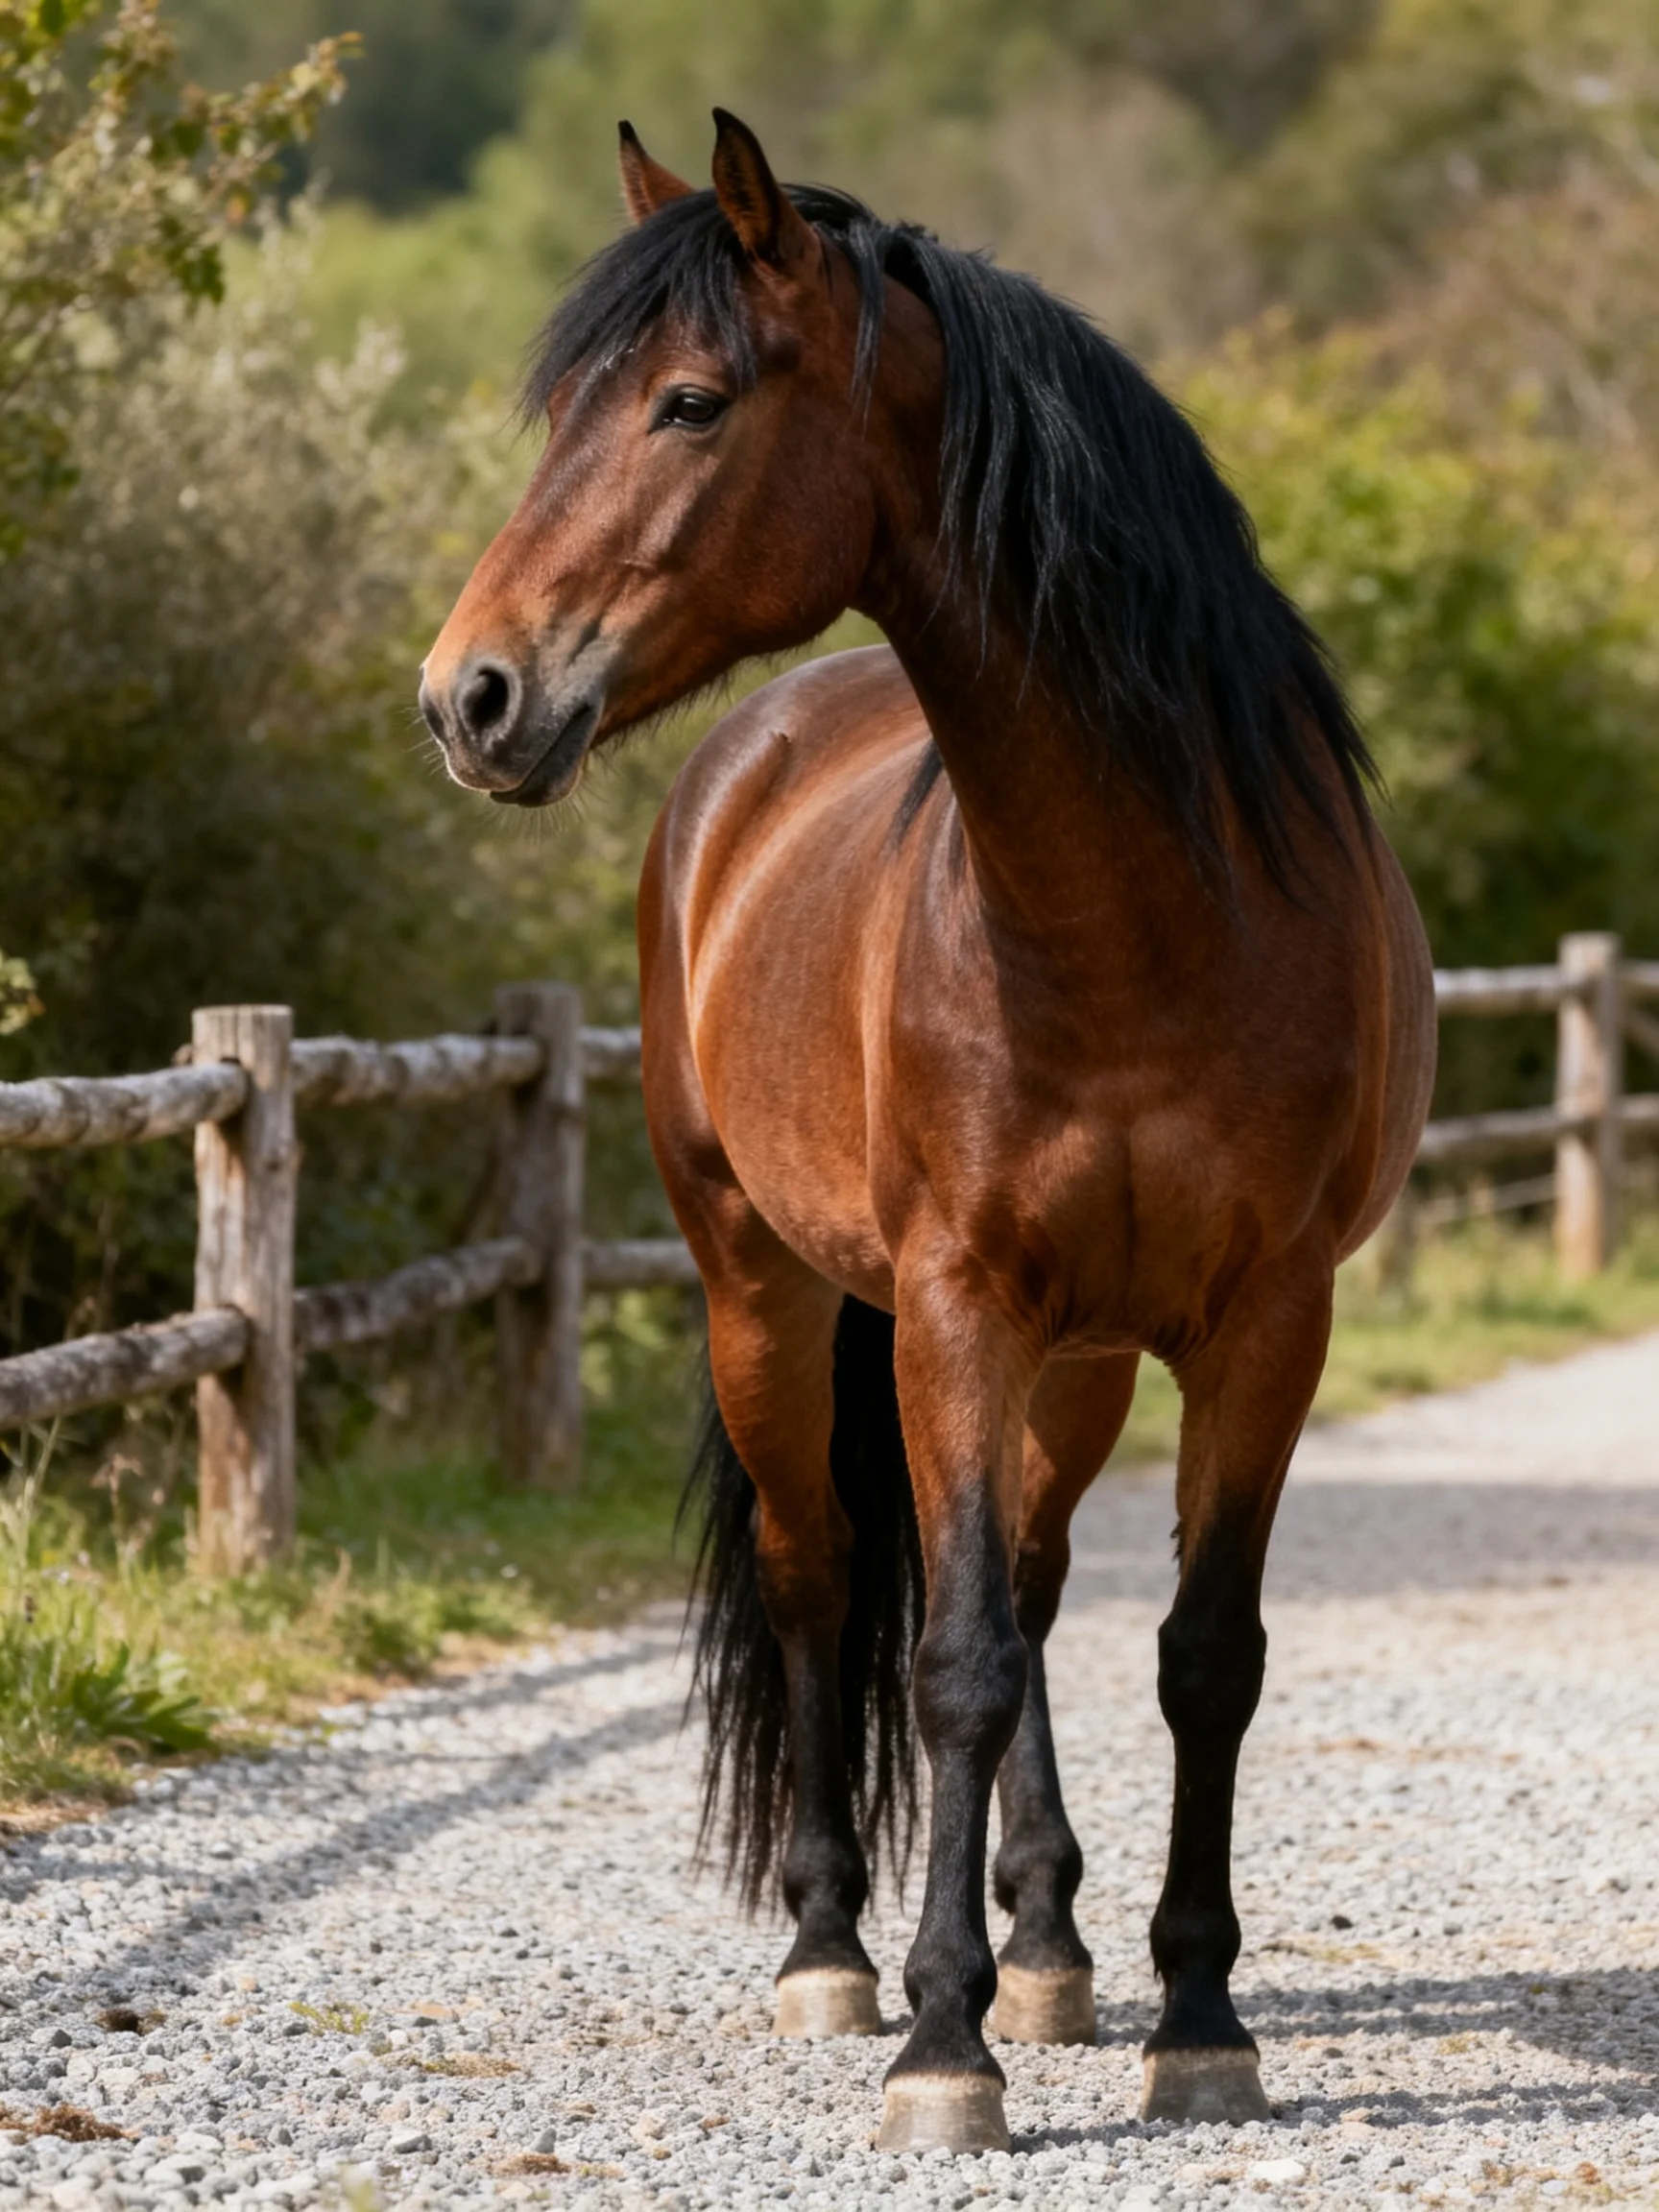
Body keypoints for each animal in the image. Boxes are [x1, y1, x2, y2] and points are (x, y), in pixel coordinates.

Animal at [420, 111, 1436, 2156]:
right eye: (563, 406)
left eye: (689, 400)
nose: (467, 694)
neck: (1140, 911)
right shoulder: (956, 1302)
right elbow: (946, 1659)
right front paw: (940, 2040)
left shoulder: (1260, 1323)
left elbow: (1196, 1655)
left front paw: (1193, 2012)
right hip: (769, 1294)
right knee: (826, 1581)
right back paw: (834, 1945)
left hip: (1083, 1351)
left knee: (1032, 1584)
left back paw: (1046, 1940)